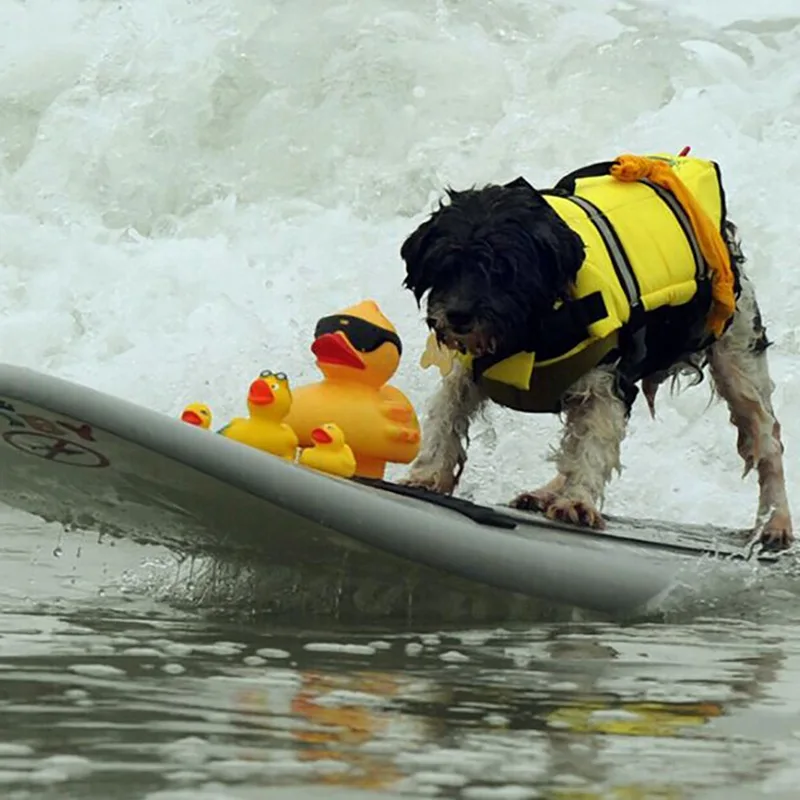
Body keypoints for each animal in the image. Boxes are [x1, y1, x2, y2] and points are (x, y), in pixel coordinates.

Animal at [396, 151, 792, 552]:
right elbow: (447, 411)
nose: (458, 316)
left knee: (767, 437)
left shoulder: (606, 384)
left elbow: (592, 444)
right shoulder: (470, 369)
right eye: (446, 266)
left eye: (504, 270)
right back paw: (546, 492)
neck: (531, 331)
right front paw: (427, 474)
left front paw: (577, 501)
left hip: (737, 355)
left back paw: (777, 522)